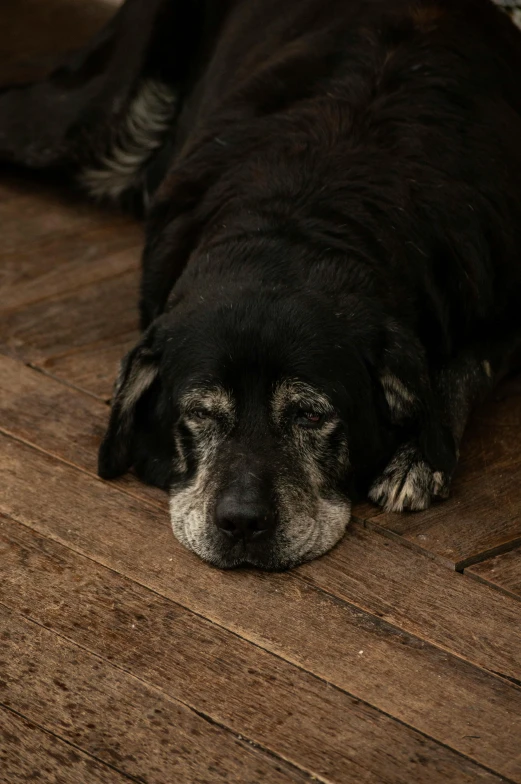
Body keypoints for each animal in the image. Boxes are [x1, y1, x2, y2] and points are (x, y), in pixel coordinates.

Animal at [3, 0, 520, 568]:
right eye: (199, 413)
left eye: (311, 415)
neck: (300, 217)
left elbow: (464, 370)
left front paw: (420, 456)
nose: (242, 524)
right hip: (86, 118)